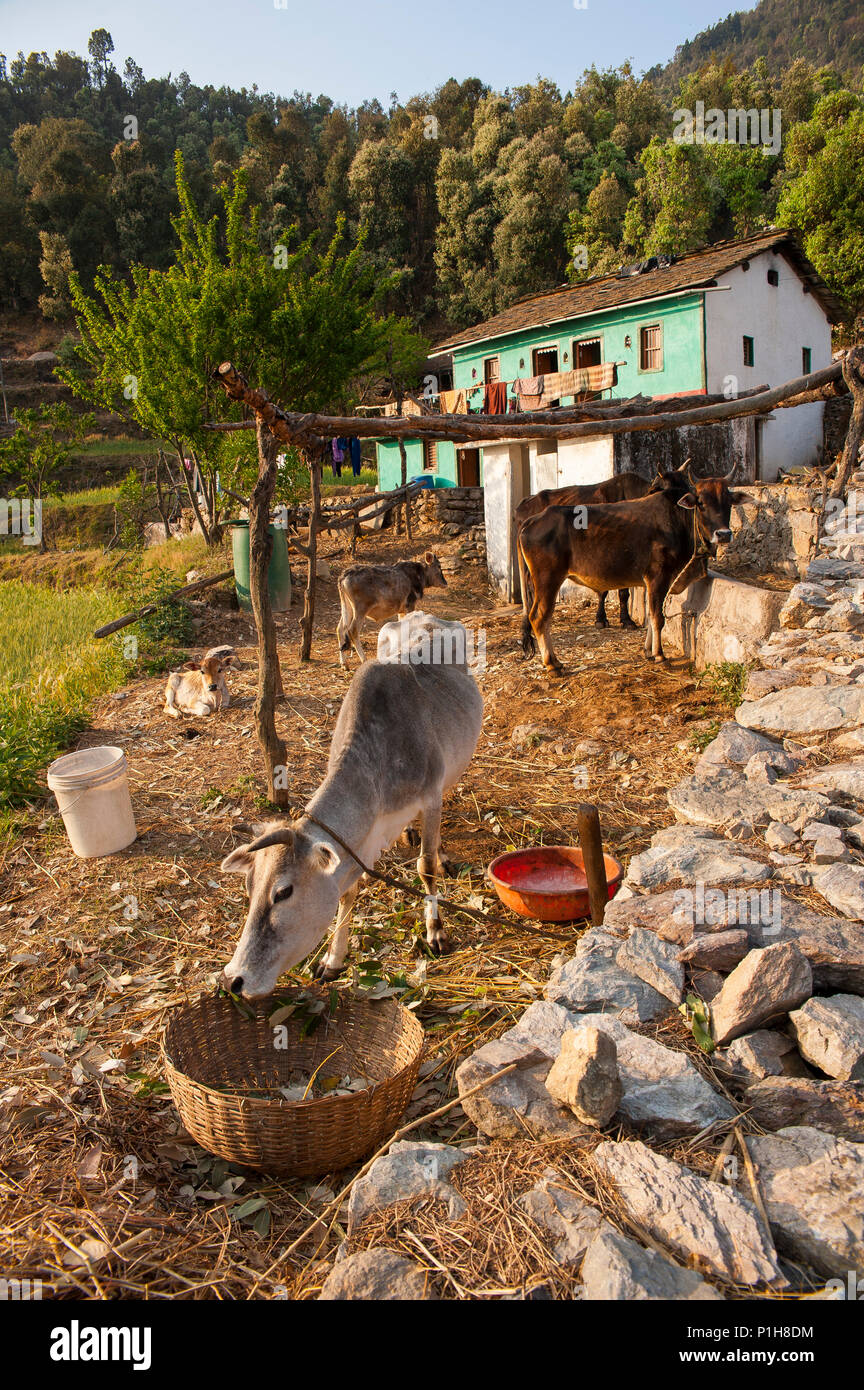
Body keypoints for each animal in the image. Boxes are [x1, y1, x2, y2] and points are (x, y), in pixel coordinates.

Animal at [219, 614, 483, 995]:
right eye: (249, 887)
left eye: (283, 892)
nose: (233, 979)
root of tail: (427, 617)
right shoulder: (359, 844)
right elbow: (348, 891)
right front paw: (332, 959)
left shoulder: (431, 797)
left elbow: (426, 867)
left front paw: (435, 932)